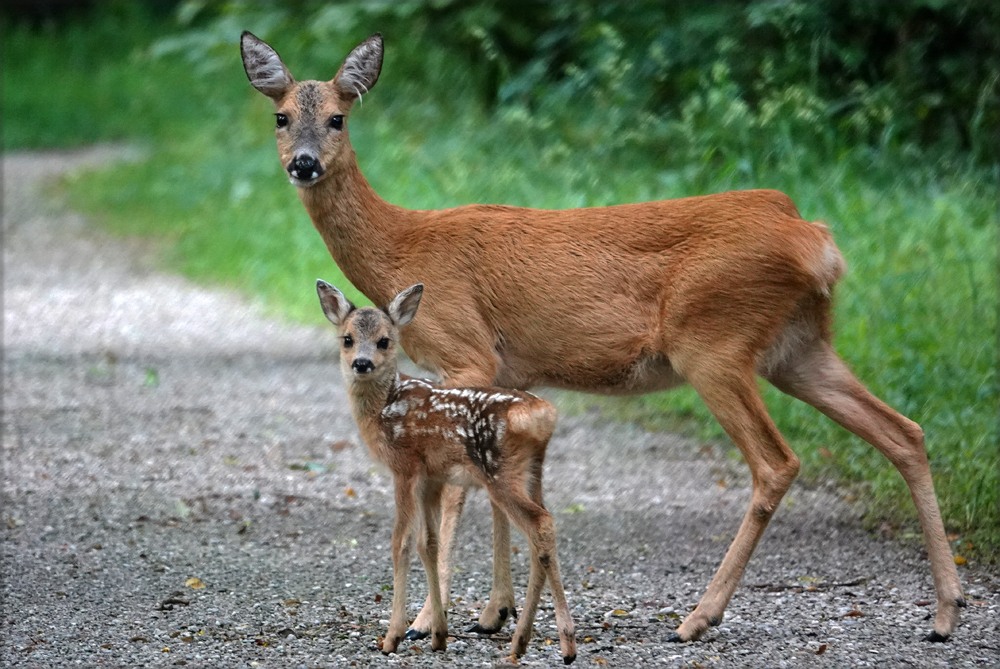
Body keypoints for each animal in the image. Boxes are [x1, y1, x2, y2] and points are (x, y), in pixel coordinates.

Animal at [316, 280, 576, 660]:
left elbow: (400, 542)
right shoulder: (431, 477)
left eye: (384, 341)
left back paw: (561, 644)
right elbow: (429, 543)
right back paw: (522, 639)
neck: (384, 408)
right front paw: (437, 634)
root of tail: (543, 416)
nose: (362, 363)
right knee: (538, 536)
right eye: (347, 339)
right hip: (532, 473)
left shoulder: (405, 466)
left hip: (501, 473)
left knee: (541, 524)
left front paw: (392, 637)